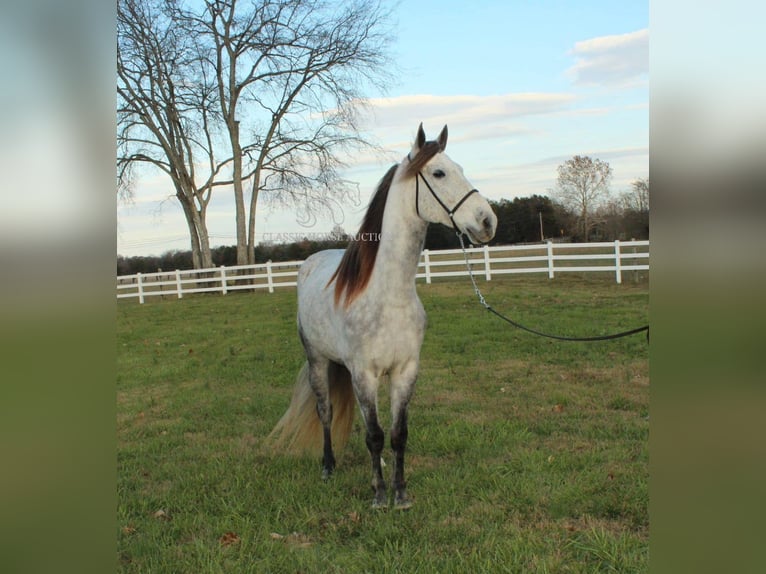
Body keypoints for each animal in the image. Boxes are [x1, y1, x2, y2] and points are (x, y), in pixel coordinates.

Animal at [270, 124, 498, 510]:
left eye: (461, 168)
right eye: (439, 173)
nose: (487, 221)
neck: (388, 294)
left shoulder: (405, 371)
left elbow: (397, 434)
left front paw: (400, 492)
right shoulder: (364, 374)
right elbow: (375, 435)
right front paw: (378, 495)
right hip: (318, 361)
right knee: (326, 411)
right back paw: (328, 466)